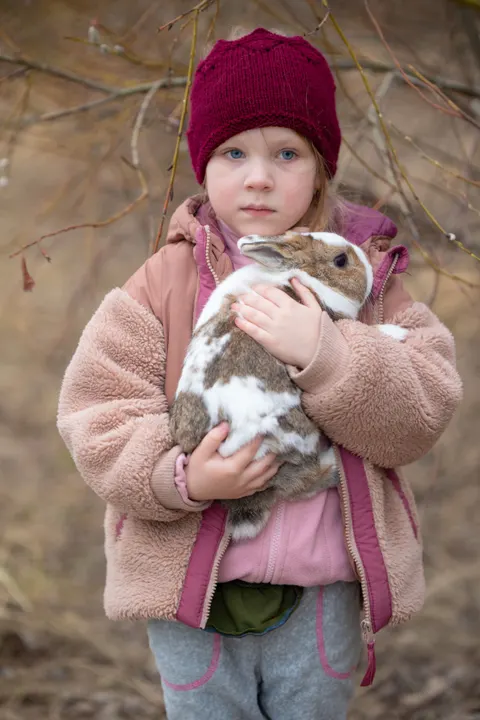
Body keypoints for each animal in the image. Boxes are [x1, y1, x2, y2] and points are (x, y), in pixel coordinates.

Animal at [170, 230, 408, 540]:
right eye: (340, 261)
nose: (368, 269)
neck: (303, 277)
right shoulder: (331, 322)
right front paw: (399, 333)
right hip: (293, 439)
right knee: (302, 484)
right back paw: (333, 464)